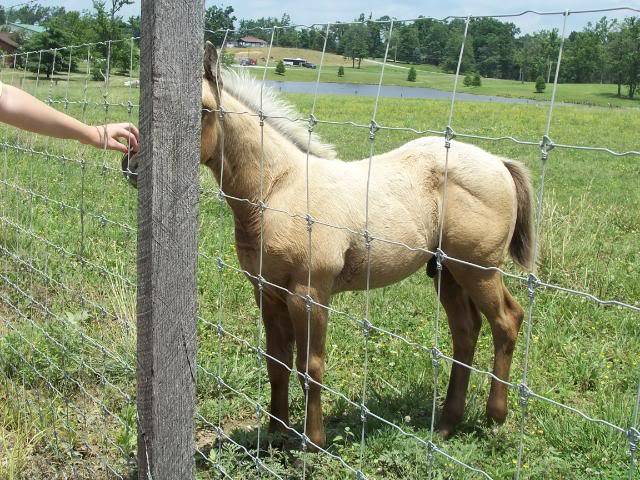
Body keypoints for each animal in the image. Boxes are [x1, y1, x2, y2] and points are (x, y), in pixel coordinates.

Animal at [122, 42, 532, 450]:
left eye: (204, 110)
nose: (134, 165)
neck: (277, 188)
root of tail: (498, 162)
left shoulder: (309, 293)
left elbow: (311, 365)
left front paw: (313, 441)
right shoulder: (267, 292)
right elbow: (277, 361)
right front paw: (277, 430)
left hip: (478, 268)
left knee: (507, 320)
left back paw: (494, 415)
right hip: (446, 271)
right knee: (466, 331)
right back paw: (447, 423)